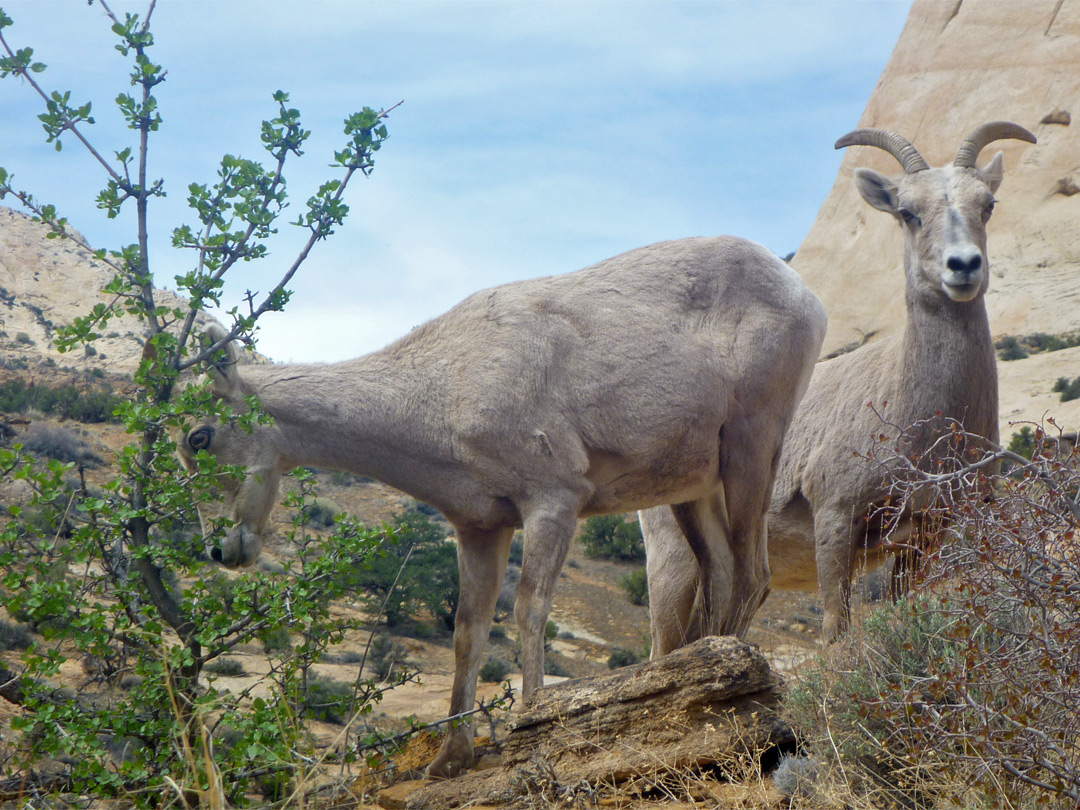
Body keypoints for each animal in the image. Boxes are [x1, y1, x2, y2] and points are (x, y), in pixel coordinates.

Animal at [179, 239, 825, 781]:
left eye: (198, 438)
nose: (221, 549)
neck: (439, 393)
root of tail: (804, 294)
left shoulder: (552, 501)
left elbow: (530, 609)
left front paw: (530, 721)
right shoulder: (480, 527)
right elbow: (469, 631)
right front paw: (449, 759)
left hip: (751, 446)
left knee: (754, 574)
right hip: (691, 490)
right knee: (720, 573)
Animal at [639, 122, 1036, 652]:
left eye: (987, 205)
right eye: (907, 213)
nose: (964, 266)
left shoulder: (926, 535)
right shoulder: (835, 519)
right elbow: (834, 631)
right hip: (674, 565)